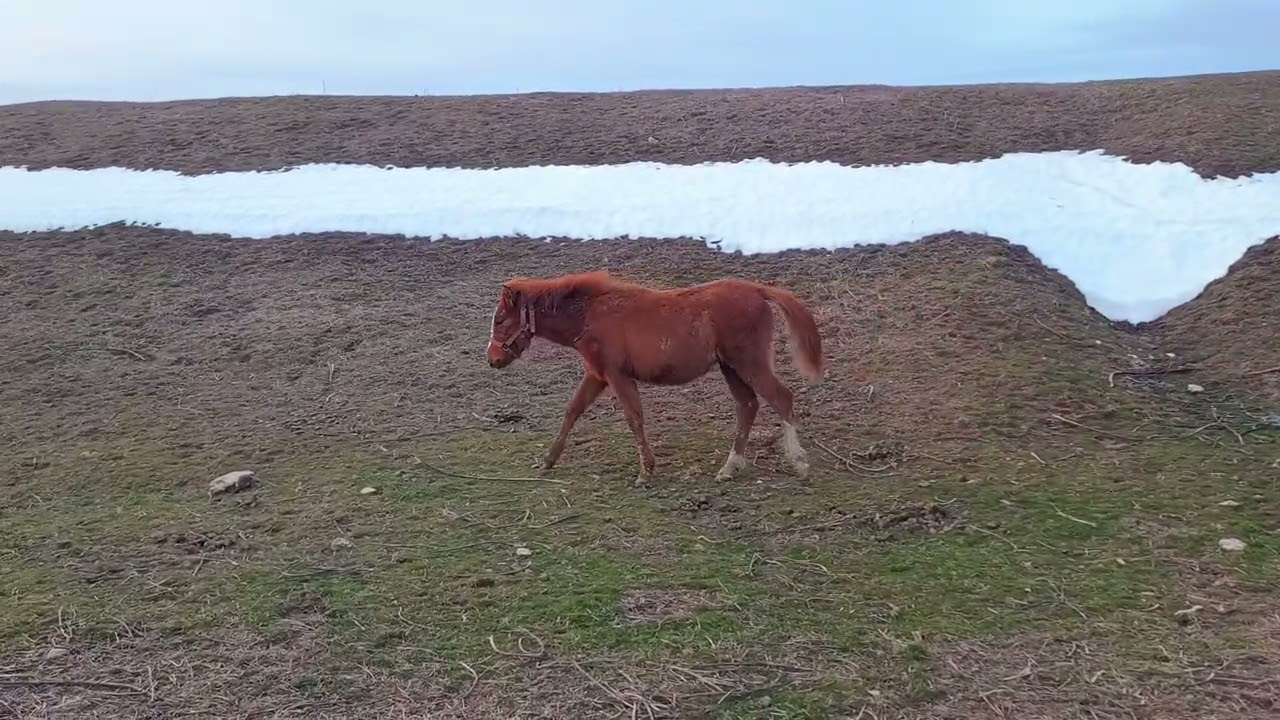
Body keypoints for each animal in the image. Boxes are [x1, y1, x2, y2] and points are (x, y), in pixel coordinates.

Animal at [485, 270, 826, 485]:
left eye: (500, 320)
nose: (492, 359)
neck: (591, 314)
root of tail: (759, 289)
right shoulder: (597, 375)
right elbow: (572, 411)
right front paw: (549, 459)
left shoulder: (617, 376)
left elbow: (634, 417)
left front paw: (646, 472)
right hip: (732, 368)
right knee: (748, 406)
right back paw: (729, 468)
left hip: (749, 363)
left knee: (781, 398)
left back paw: (800, 462)